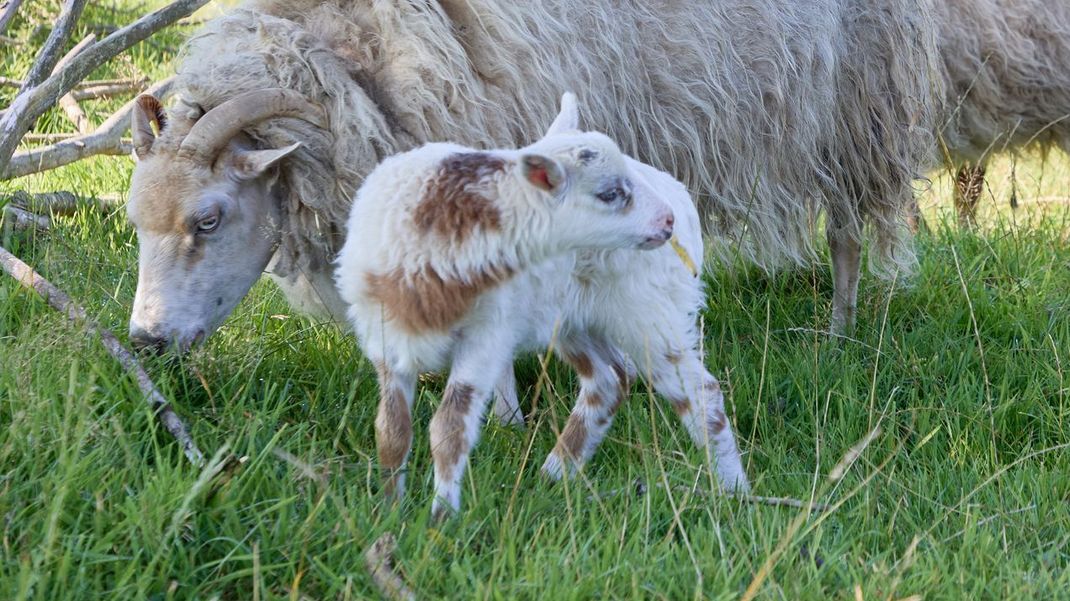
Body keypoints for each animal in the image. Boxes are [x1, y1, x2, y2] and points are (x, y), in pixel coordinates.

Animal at [125, 0, 941, 352]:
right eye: (136, 223)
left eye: (208, 218)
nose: (145, 340)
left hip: (850, 110)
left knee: (846, 236)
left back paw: (838, 335)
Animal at [338, 93, 749, 515]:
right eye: (609, 194)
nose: (664, 221)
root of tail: (680, 198)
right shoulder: (385, 340)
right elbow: (391, 430)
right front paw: (389, 510)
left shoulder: (486, 338)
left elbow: (449, 428)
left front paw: (441, 517)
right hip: (571, 318)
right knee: (609, 380)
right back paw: (555, 475)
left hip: (645, 311)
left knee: (700, 392)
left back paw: (734, 491)